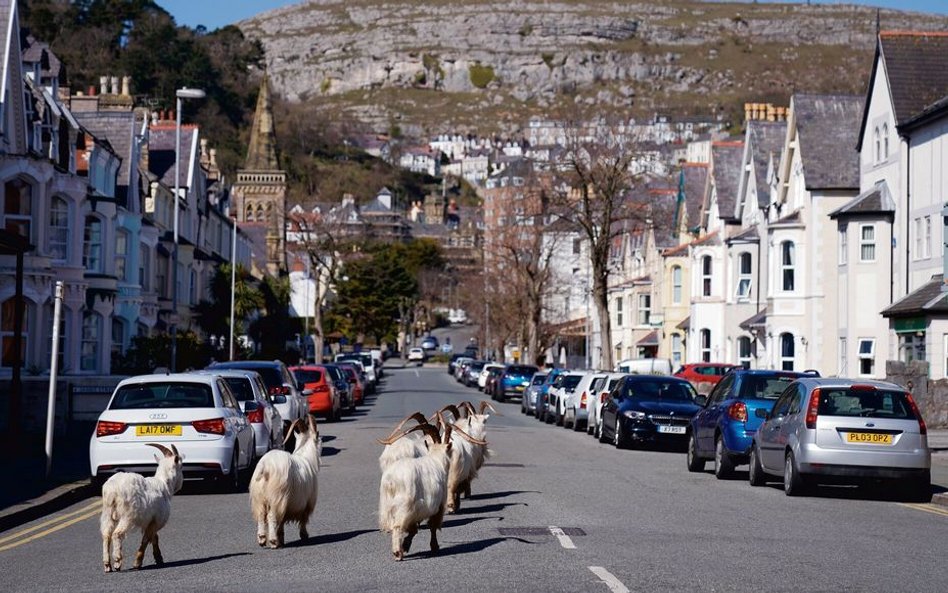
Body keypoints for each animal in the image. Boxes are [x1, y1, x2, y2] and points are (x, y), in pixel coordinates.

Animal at [100, 442, 183, 572]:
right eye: (181, 466)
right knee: (117, 534)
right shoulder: (156, 519)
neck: (164, 485)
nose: (180, 485)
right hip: (128, 515)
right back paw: (117, 561)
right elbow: (146, 539)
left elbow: (154, 538)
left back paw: (107, 564)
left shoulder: (150, 520)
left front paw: (159, 558)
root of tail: (113, 489)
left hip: (107, 513)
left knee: (106, 535)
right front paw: (137, 563)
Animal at [248, 412, 322, 544]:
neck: (306, 458)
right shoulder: (307, 502)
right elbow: (303, 519)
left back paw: (262, 539)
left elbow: (281, 521)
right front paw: (304, 535)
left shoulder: (286, 505)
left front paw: (281, 538)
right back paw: (272, 541)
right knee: (271, 516)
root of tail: (265, 466)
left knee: (261, 515)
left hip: (259, 498)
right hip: (277, 497)